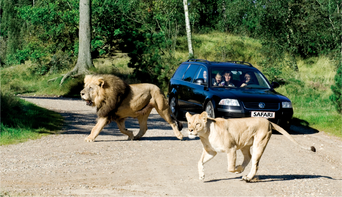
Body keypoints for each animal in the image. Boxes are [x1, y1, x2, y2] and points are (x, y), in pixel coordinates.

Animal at [186, 111, 316, 182]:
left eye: (197, 124)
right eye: (189, 122)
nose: (190, 130)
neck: (206, 134)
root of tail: (268, 121)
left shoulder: (231, 149)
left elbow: (230, 167)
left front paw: (237, 169)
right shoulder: (211, 151)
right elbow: (199, 162)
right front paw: (202, 175)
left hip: (259, 143)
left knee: (255, 163)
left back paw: (247, 177)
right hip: (245, 144)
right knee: (248, 157)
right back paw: (244, 172)